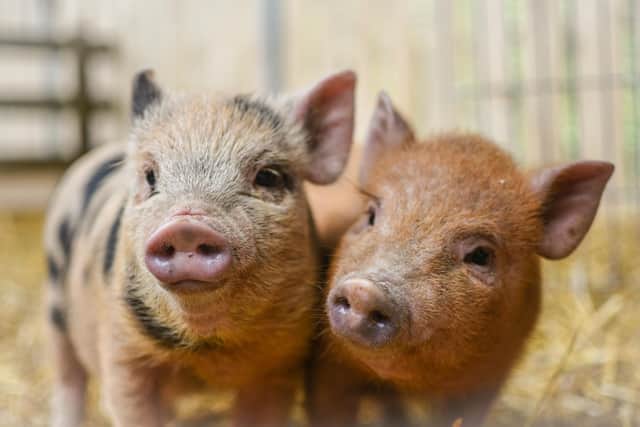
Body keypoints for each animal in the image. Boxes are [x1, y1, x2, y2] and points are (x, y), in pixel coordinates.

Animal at [43, 69, 356, 427]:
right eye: (150, 176)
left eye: (268, 176)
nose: (186, 227)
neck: (206, 348)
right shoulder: (121, 350)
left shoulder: (281, 363)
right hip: (54, 298)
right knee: (68, 375)